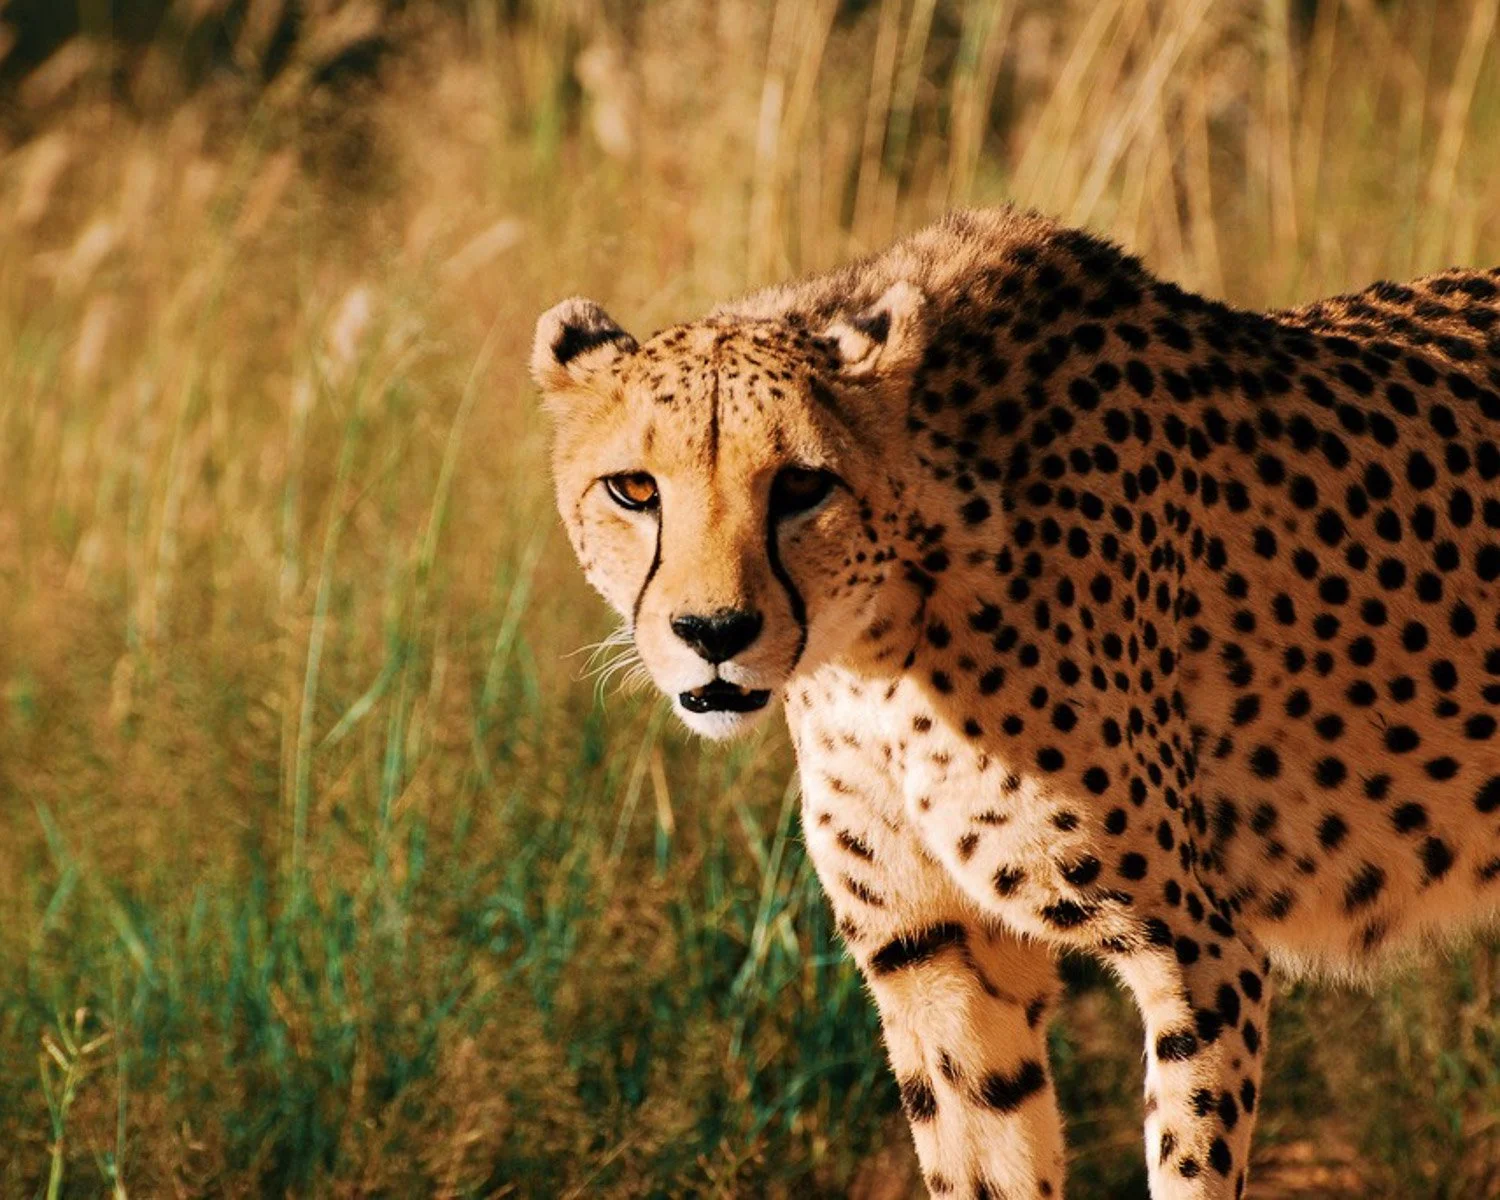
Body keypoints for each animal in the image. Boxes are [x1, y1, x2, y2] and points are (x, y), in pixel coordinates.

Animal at [525, 211, 1500, 1194]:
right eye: (634, 489)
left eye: (802, 485)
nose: (712, 630)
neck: (877, 654)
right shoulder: (935, 953)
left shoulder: (1198, 950)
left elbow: (1187, 1157)